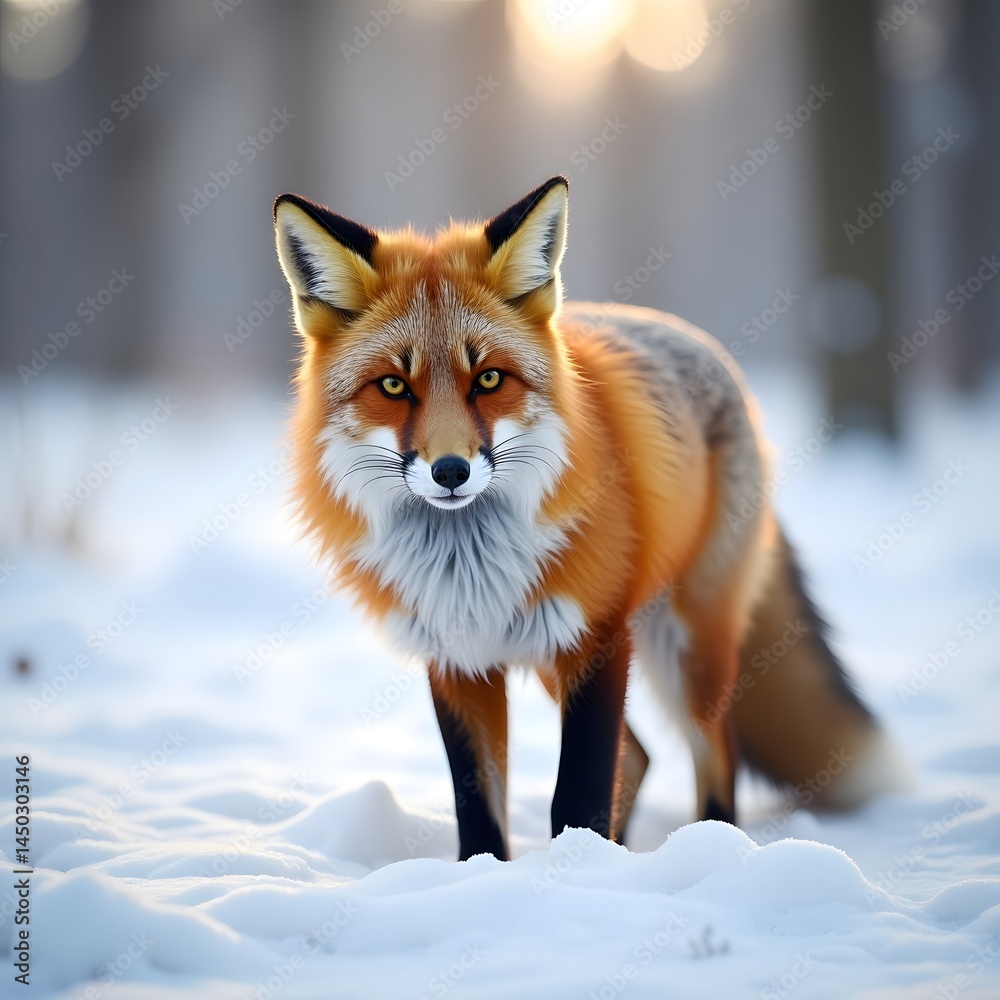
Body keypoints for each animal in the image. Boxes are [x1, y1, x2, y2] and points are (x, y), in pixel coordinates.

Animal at [272, 176, 905, 862]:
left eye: (488, 378)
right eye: (393, 386)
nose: (450, 471)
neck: (468, 567)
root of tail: (705, 348)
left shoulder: (598, 638)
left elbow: (577, 793)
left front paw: (572, 873)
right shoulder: (459, 658)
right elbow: (480, 808)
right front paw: (485, 876)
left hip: (688, 644)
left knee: (714, 752)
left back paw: (711, 844)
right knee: (643, 757)